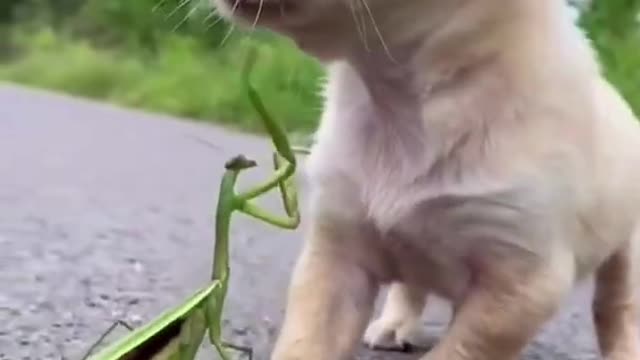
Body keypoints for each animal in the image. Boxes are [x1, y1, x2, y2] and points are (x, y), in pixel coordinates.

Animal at [214, 0, 640, 358]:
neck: (400, 97)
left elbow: (460, 350)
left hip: (628, 257)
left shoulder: (524, 283)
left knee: (617, 308)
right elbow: (307, 341)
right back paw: (394, 325)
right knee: (411, 284)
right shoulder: (337, 252)